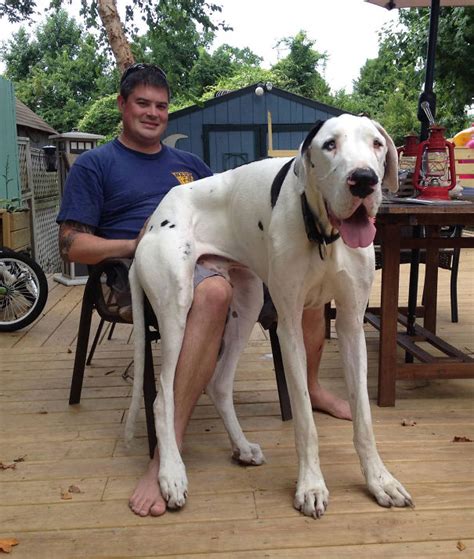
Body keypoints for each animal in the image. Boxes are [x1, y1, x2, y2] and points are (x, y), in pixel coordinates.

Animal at [124, 115, 412, 520]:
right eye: (329, 145)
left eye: (376, 144)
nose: (364, 180)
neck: (323, 234)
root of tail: (152, 221)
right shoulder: (289, 328)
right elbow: (305, 419)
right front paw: (311, 486)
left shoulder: (351, 325)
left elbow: (364, 419)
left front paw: (379, 480)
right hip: (176, 307)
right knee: (163, 395)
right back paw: (170, 476)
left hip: (246, 303)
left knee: (219, 383)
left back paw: (241, 446)